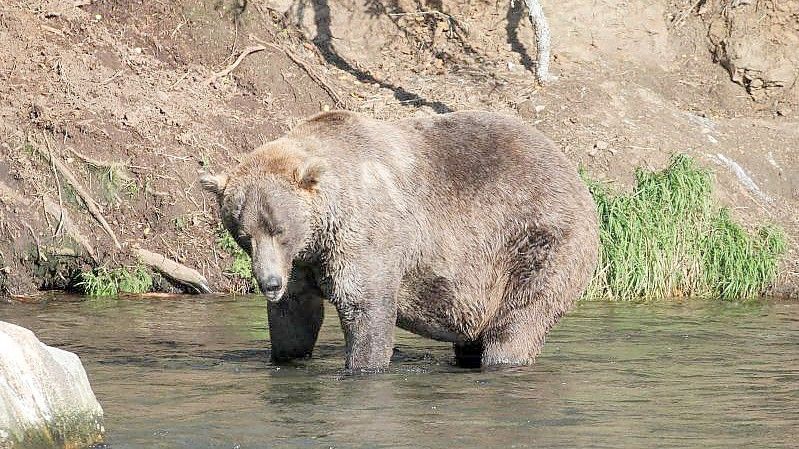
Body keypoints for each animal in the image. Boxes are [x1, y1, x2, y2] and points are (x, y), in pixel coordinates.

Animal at [202, 110, 600, 370]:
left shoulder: (365, 235)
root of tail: (572, 170)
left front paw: (363, 365)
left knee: (519, 318)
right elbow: (295, 317)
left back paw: (503, 358)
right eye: (244, 234)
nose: (269, 283)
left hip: (536, 239)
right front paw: (287, 355)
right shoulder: (303, 262)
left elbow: (366, 307)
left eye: (279, 229)